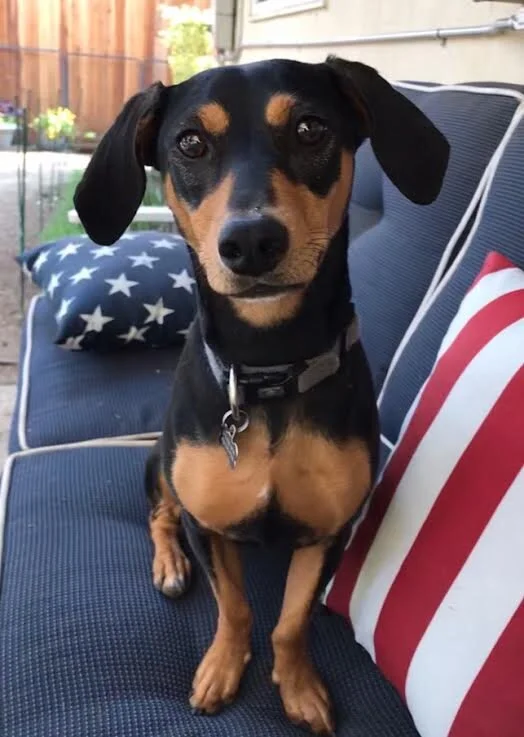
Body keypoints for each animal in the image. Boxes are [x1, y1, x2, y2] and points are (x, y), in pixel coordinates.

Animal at [74, 56, 449, 735]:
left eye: (310, 128)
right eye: (190, 143)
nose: (250, 242)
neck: (269, 365)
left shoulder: (328, 530)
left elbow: (290, 621)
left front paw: (298, 686)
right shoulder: (209, 522)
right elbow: (238, 608)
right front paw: (222, 669)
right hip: (159, 461)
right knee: (159, 514)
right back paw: (170, 564)